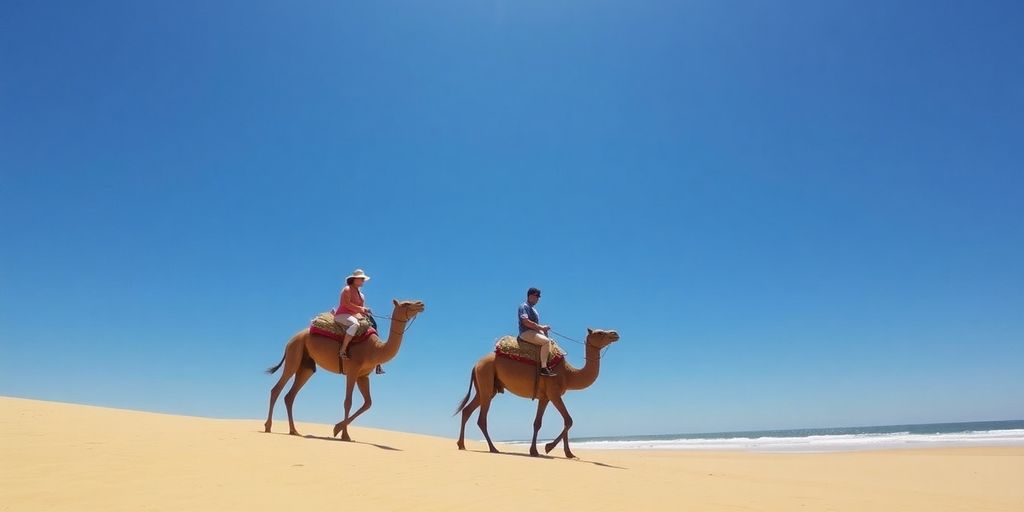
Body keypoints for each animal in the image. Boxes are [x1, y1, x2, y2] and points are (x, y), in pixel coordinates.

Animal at [264, 299, 425, 441]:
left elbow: (368, 403)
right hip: (294, 353)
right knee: (276, 389)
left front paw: (338, 429)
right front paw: (343, 434)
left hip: (306, 366)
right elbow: (348, 401)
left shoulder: (363, 376)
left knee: (290, 396)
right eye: (406, 303)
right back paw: (268, 427)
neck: (375, 349)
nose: (421, 304)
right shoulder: (352, 371)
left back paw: (294, 431)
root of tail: (290, 340)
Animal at [454, 328, 620, 458]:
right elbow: (569, 420)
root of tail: (476, 364)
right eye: (599, 332)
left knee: (467, 410)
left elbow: (539, 423)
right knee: (481, 419)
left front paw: (560, 453)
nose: (615, 333)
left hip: (486, 387)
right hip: (486, 378)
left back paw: (461, 444)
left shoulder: (545, 397)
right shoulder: (554, 394)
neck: (568, 373)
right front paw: (548, 447)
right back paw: (493, 448)